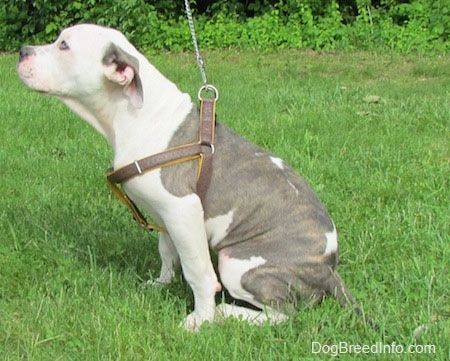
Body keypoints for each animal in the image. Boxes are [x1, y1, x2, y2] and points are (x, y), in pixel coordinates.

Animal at [18, 23, 370, 330]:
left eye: (64, 45)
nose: (21, 51)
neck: (135, 115)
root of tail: (329, 268)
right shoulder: (165, 214)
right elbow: (167, 252)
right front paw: (161, 283)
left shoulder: (182, 209)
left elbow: (197, 271)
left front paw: (200, 320)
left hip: (238, 264)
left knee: (286, 314)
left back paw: (228, 313)